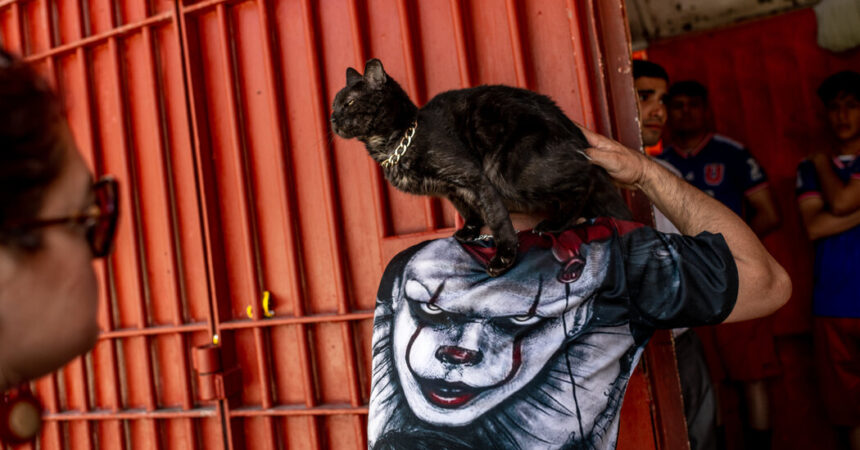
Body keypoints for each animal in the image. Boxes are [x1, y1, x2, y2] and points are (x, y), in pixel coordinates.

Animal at [332, 58, 628, 276]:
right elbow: (467, 209)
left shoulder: (474, 177)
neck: (399, 140)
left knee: (585, 178)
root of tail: (572, 130)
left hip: (508, 171)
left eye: (349, 103)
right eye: (334, 106)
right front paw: (469, 230)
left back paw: (554, 224)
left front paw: (504, 256)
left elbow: (495, 217)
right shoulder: (451, 188)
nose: (332, 119)